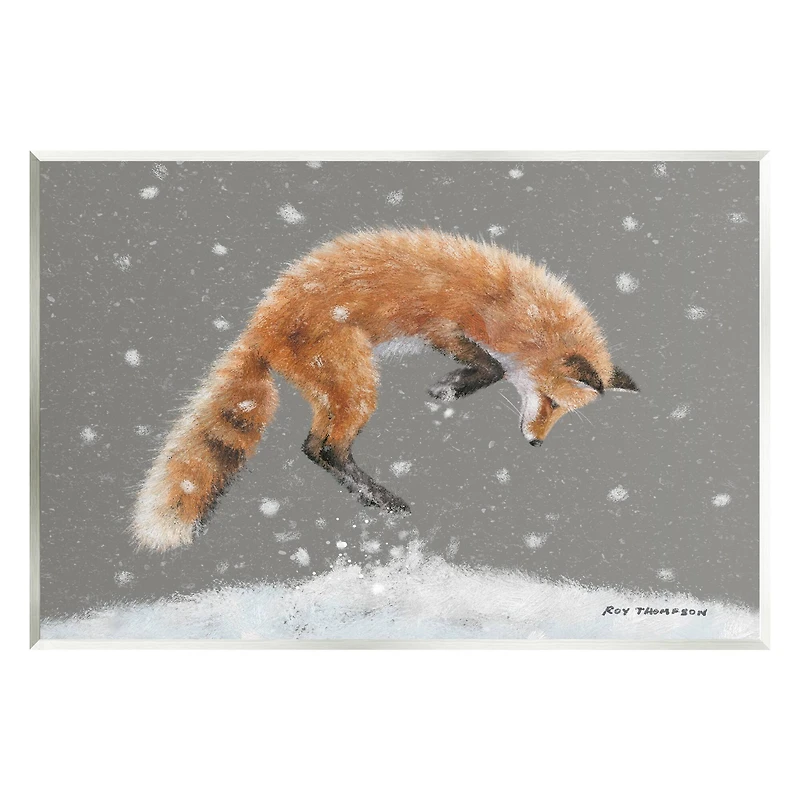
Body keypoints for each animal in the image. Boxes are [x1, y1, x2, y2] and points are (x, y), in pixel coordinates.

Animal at [133, 228, 639, 552]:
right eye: (550, 402)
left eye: (562, 413)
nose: (535, 443)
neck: (517, 311)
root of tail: (261, 325)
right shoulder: (445, 325)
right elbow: (492, 365)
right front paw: (451, 388)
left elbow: (492, 365)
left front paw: (454, 387)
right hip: (358, 383)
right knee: (325, 447)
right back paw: (379, 497)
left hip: (338, 389)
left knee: (314, 446)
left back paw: (368, 495)